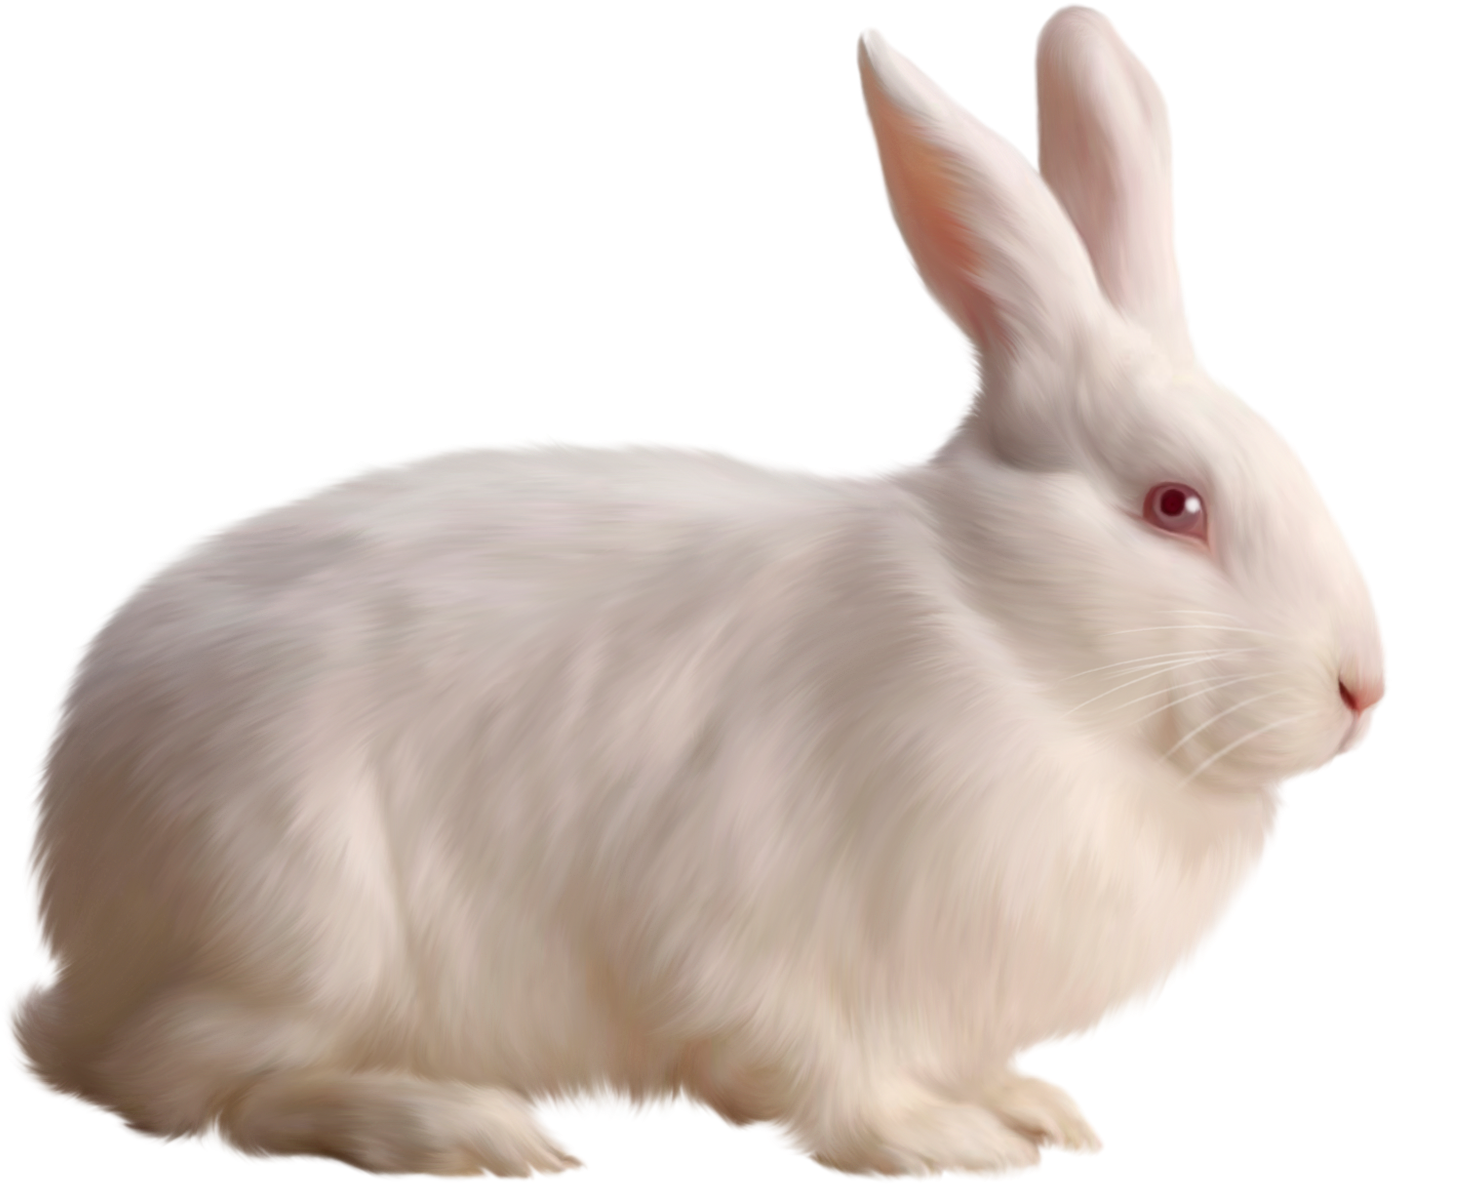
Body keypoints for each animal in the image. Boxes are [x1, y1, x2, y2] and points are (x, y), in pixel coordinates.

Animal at [6, 5, 1390, 1182]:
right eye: (1175, 505)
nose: (1359, 687)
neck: (1008, 635)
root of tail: (71, 898)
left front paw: (1034, 1106)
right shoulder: (758, 938)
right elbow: (816, 1075)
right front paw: (945, 1141)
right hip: (295, 918)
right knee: (197, 1088)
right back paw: (463, 1126)